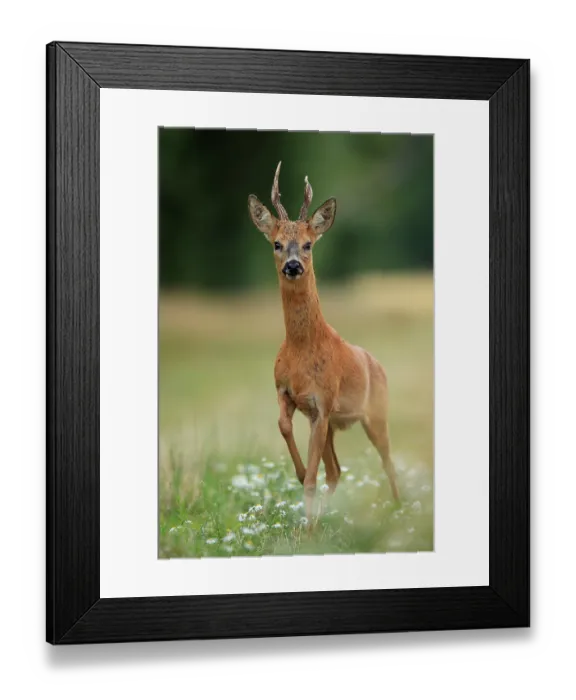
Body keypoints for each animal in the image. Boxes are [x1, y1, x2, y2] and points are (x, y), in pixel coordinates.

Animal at [248, 162, 400, 528]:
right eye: (276, 243)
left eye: (308, 244)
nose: (293, 266)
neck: (302, 350)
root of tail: (377, 363)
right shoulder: (290, 394)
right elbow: (284, 428)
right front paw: (300, 474)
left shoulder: (323, 403)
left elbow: (314, 478)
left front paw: (306, 527)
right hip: (333, 423)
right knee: (337, 471)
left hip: (376, 413)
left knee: (387, 461)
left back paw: (400, 510)